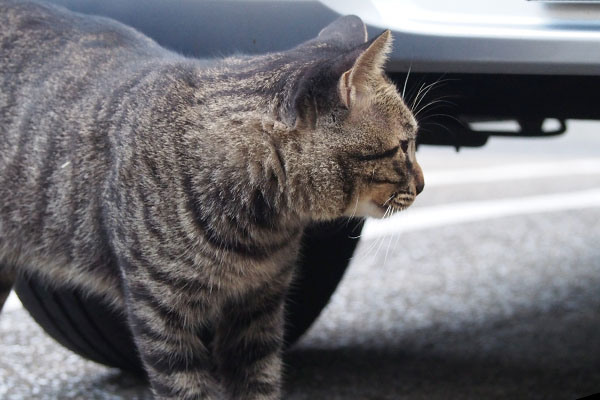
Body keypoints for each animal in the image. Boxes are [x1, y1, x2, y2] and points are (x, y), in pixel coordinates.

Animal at [0, 1, 424, 398]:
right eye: (404, 146)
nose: (422, 184)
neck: (260, 228)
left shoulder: (259, 310)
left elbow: (259, 384)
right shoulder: (162, 315)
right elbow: (185, 388)